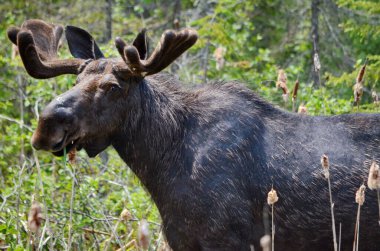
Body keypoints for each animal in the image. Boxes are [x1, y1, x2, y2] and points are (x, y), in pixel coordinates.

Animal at [6, 20, 380, 251]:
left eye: (113, 86)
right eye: (76, 80)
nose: (46, 125)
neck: (161, 164)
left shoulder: (226, 239)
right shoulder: (183, 239)